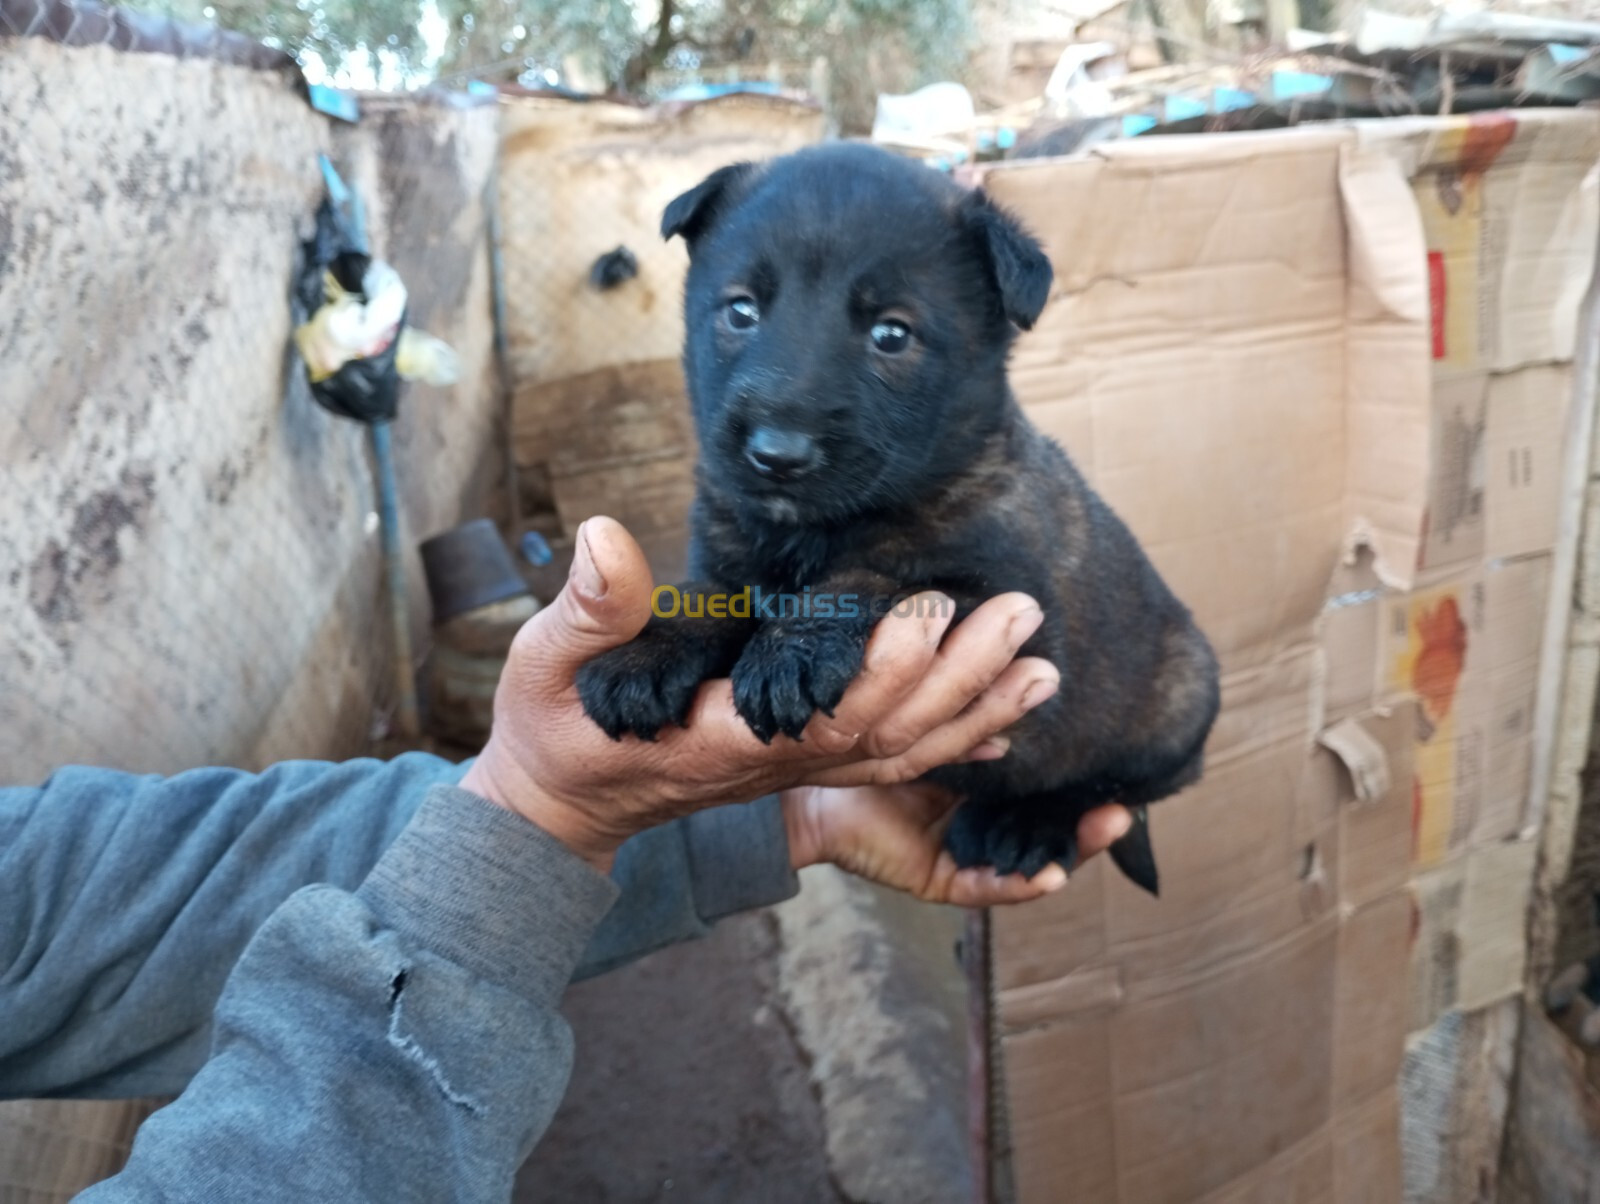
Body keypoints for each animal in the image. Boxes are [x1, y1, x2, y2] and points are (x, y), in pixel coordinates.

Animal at [582, 143, 1216, 896]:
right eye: (740, 311)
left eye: (892, 334)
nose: (776, 454)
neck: (811, 529)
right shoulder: (727, 556)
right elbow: (703, 597)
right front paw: (645, 653)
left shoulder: (1021, 618)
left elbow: (882, 576)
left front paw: (795, 648)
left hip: (1178, 699)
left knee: (1110, 785)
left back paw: (1024, 824)